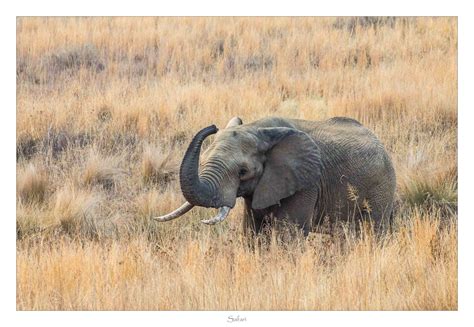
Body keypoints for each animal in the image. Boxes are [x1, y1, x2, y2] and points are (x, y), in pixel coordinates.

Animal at [156, 116, 396, 237]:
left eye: (243, 172)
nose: (212, 127)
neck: (259, 128)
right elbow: (252, 233)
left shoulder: (305, 182)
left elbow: (287, 236)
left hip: (381, 187)